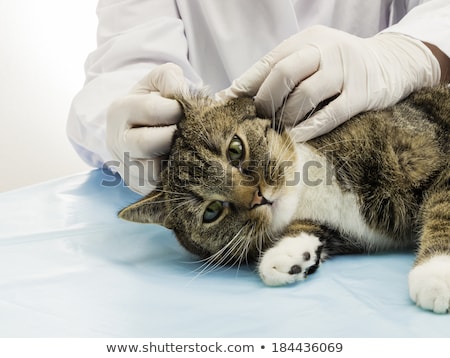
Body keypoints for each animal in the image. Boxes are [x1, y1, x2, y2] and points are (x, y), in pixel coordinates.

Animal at [118, 86, 450, 314]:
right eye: (211, 211)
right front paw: (288, 255)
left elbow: (443, 210)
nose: (258, 197)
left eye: (235, 149)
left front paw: (435, 272)